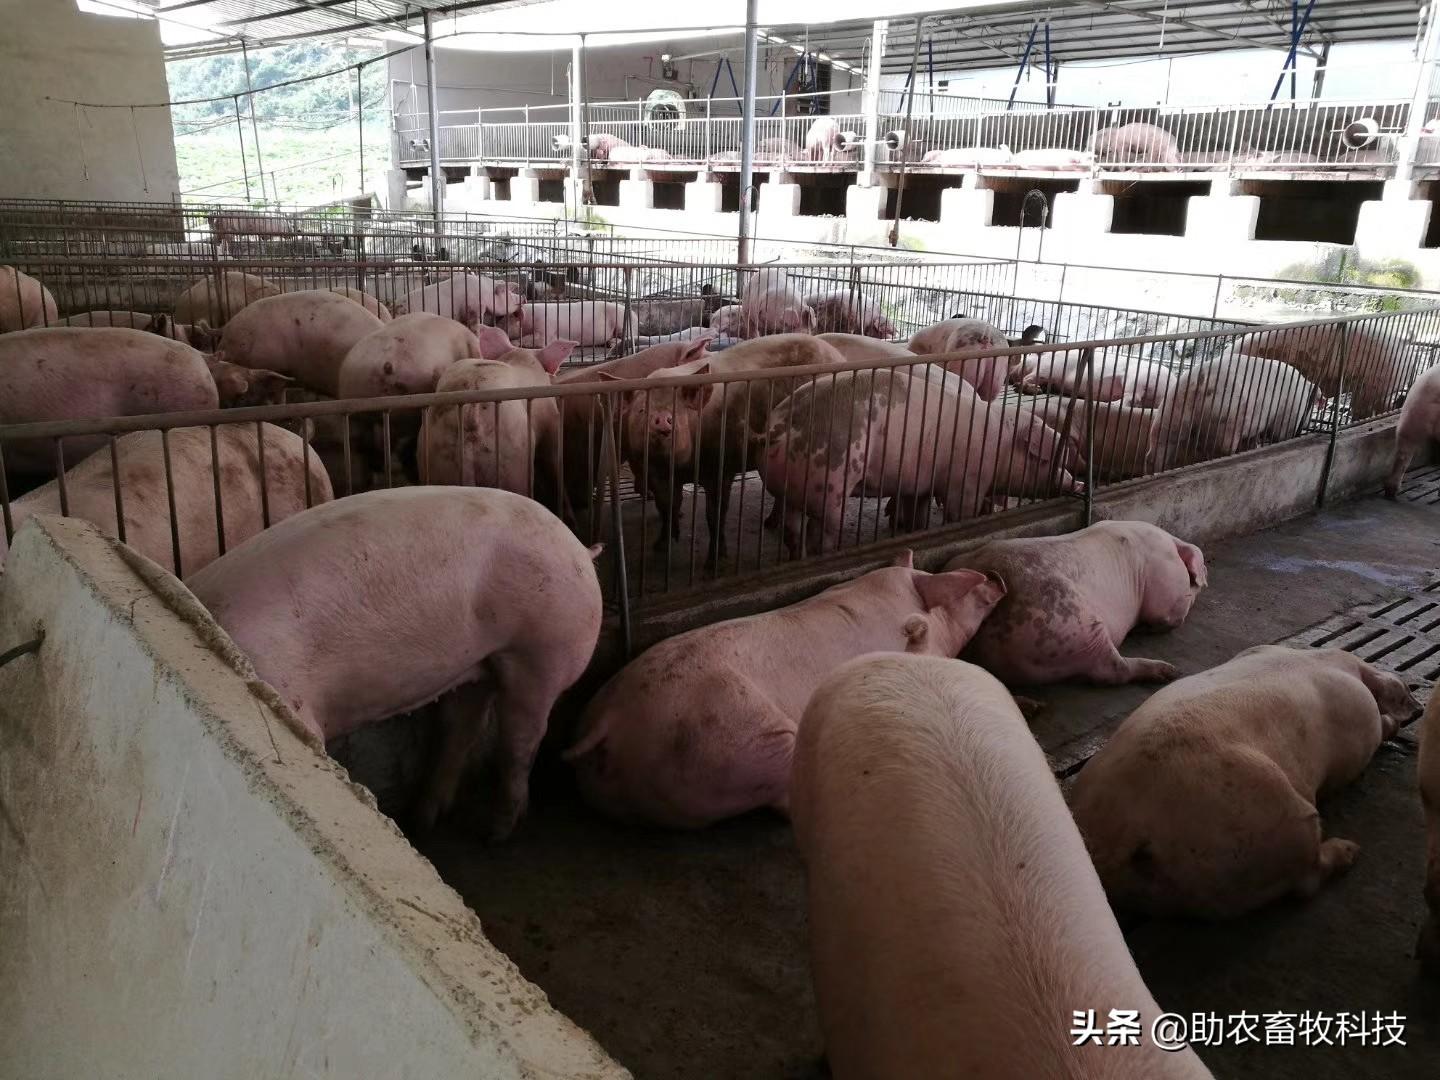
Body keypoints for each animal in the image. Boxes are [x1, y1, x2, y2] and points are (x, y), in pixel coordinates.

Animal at [186, 487, 603, 839]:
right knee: (463, 726)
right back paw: (424, 820)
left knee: (521, 739)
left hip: (545, 648)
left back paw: (495, 833)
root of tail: (581, 550)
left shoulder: (292, 698)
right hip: (479, 661)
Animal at [500, 301, 634, 350]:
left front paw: (513, 343)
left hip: (622, 322)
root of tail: (634, 314)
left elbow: (540, 340)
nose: (496, 328)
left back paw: (611, 344)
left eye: (503, 319)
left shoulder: (546, 328)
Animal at [760, 366, 1079, 556]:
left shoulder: (922, 483)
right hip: (831, 480)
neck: (1002, 446)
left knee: (792, 528)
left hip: (793, 488)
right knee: (821, 529)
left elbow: (919, 512)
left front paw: (912, 530)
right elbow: (959, 513)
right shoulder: (966, 483)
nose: (1076, 481)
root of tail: (779, 428)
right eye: (1049, 459)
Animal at [1071, 645, 1419, 918]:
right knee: (1306, 882)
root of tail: (1128, 829)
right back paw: (1350, 850)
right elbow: (1381, 729)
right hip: (1274, 826)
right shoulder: (1363, 727)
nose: (1417, 706)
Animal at [1155, 352, 1320, 469]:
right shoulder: (1289, 415)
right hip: (1226, 418)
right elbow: (1280, 436)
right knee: (1221, 449)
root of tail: (1201, 381)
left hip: (1171, 408)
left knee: (1160, 446)